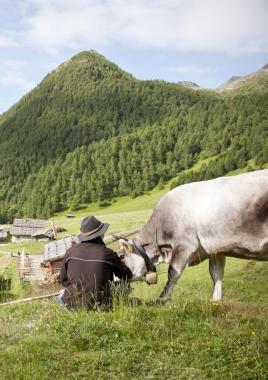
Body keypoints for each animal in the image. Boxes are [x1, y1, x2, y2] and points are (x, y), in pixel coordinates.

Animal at [120, 171, 268, 302]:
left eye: (121, 256)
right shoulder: (215, 250)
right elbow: (216, 274)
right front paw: (215, 300)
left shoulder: (185, 245)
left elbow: (173, 273)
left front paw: (162, 299)